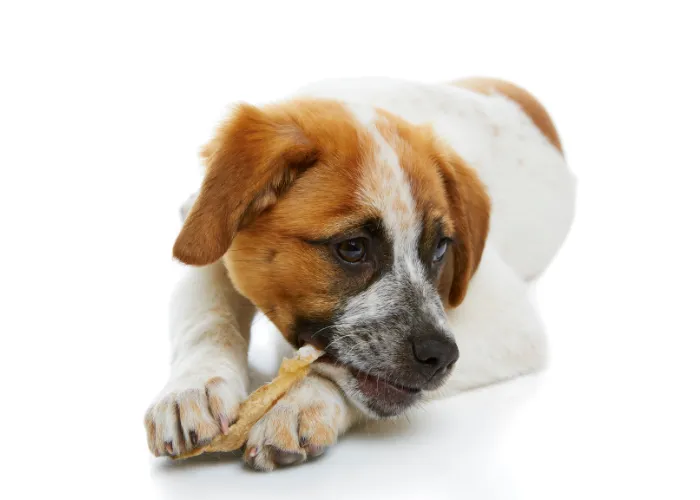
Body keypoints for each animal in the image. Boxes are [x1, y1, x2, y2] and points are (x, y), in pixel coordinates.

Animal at [142, 77, 576, 468]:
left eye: (440, 248)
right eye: (352, 248)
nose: (440, 356)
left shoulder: (510, 320)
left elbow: (329, 370)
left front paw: (304, 402)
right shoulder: (208, 242)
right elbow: (208, 320)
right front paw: (194, 387)